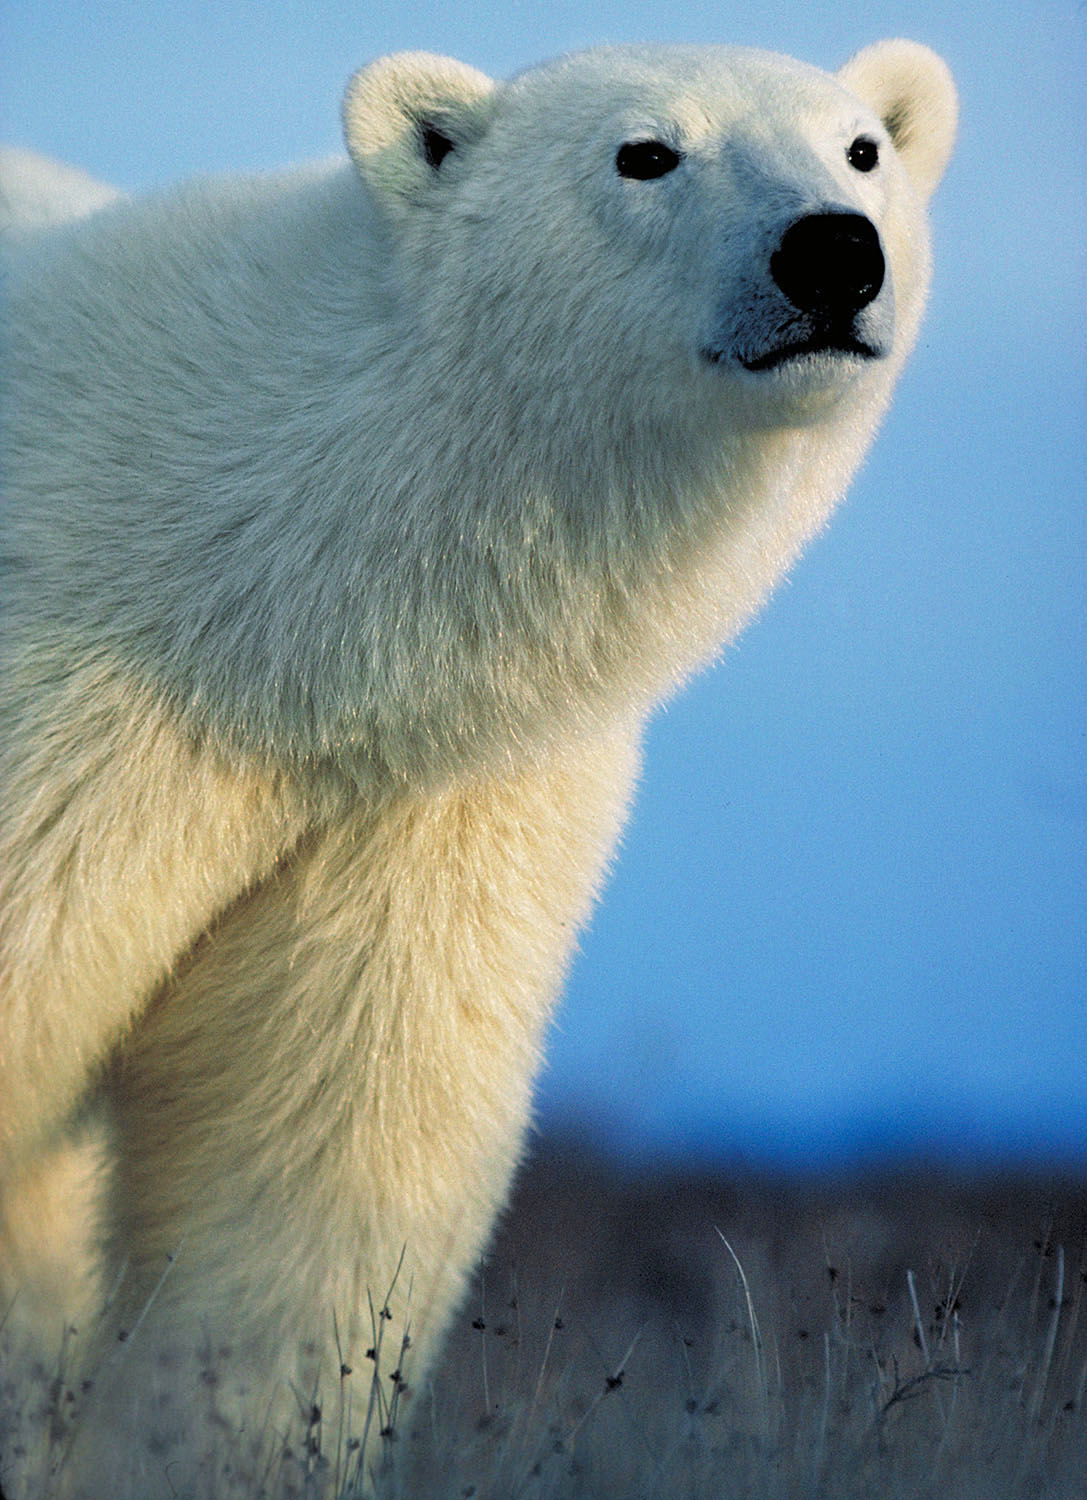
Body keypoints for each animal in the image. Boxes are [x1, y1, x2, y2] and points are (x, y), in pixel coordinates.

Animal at [0, 38, 956, 1497]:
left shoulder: (421, 809)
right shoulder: (71, 710)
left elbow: (319, 1168)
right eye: (643, 153)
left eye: (861, 147)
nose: (832, 253)